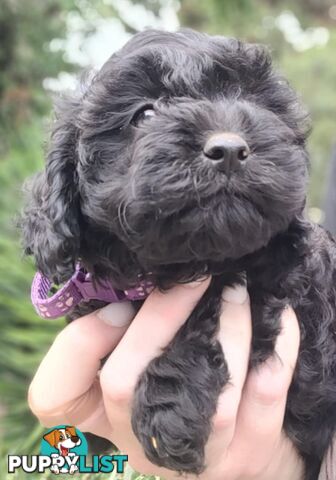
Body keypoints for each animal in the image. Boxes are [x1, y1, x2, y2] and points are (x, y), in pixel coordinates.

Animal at [21, 30, 336, 480]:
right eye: (144, 114)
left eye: (252, 101)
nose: (229, 148)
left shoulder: (291, 288)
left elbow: (215, 298)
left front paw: (169, 411)